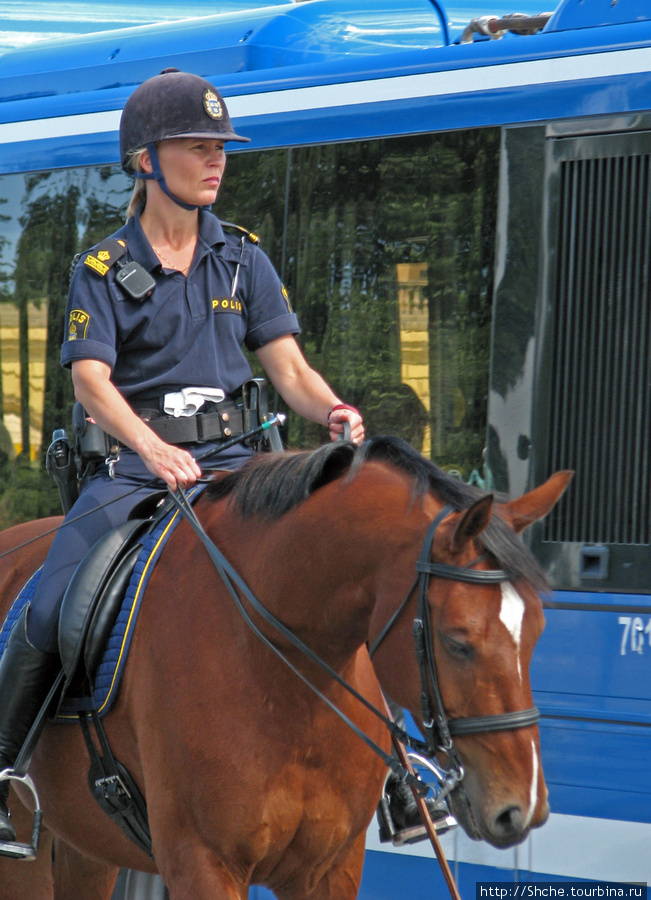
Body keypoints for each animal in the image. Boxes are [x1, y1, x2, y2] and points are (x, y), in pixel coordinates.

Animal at [0, 438, 572, 900]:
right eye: (458, 641)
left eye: (539, 629)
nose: (521, 807)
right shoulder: (202, 864)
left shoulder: (329, 871)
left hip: (86, 851)